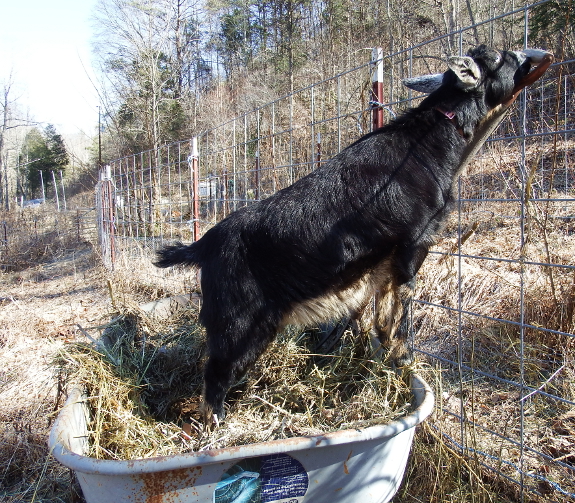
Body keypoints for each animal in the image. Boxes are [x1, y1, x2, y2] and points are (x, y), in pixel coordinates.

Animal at [156, 46, 552, 426]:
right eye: (499, 58)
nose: (534, 56)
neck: (428, 144)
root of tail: (203, 245)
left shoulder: (383, 265)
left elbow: (380, 315)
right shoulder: (412, 248)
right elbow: (399, 316)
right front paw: (404, 361)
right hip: (238, 323)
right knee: (216, 374)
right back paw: (216, 425)